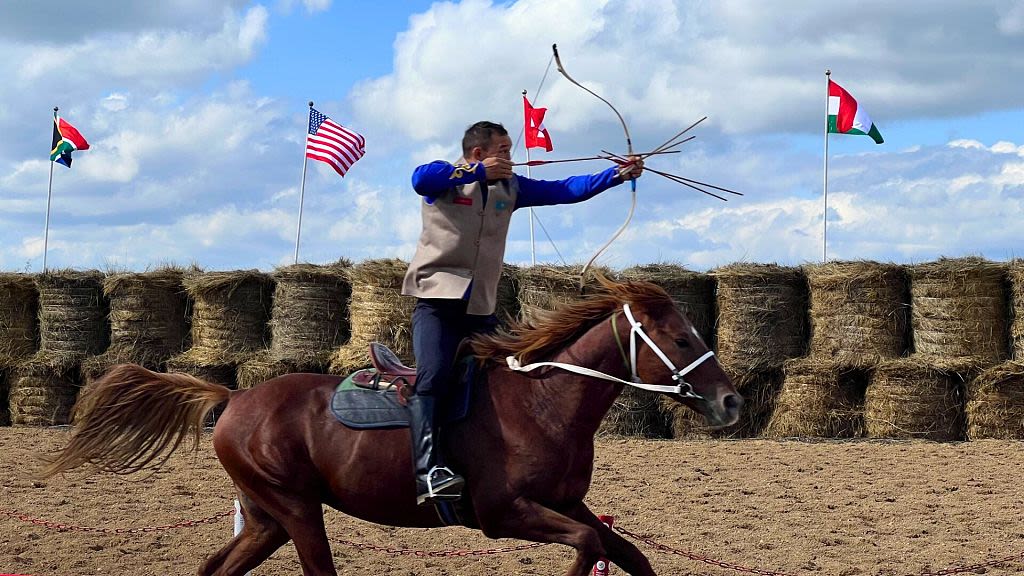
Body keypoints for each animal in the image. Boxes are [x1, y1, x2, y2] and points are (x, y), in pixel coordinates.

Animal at [41, 276, 745, 569]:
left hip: (267, 518)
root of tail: (234, 396)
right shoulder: (505, 515)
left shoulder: (569, 505)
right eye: (681, 338)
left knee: (217, 568)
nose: (732, 403)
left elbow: (623, 552)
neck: (543, 404)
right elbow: (590, 549)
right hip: (297, 511)